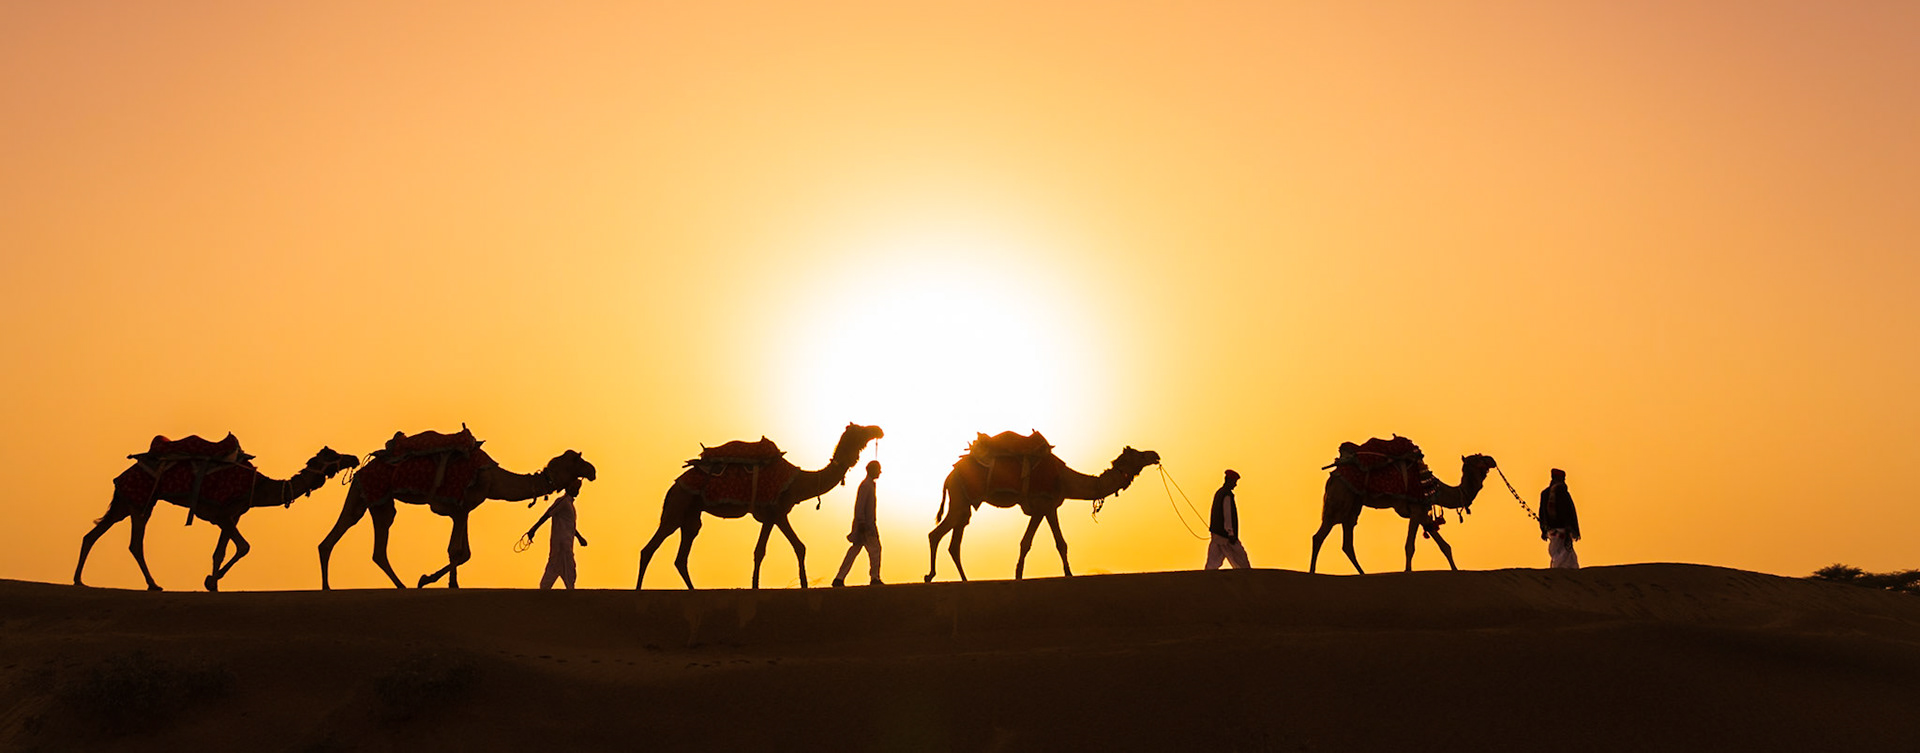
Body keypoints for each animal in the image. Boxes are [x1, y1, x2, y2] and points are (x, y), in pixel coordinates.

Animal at [75, 444, 360, 592]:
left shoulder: (233, 516)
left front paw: (212, 583)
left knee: (92, 535)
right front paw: (211, 581)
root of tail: (122, 475)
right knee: (135, 544)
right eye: (334, 455)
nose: (354, 457)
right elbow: (244, 546)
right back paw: (153, 584)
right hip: (142, 502)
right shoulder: (223, 512)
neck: (258, 487)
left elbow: (220, 552)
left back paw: (79, 580)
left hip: (125, 503)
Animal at [317, 445, 596, 589]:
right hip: (371, 493)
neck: (493, 479)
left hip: (376, 501)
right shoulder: (459, 509)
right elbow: (456, 550)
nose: (593, 470)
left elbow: (465, 552)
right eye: (577, 459)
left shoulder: (465, 509)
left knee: (362, 542)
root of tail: (360, 471)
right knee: (348, 537)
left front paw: (435, 580)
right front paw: (441, 582)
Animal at [636, 423, 884, 590]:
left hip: (692, 515)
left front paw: (800, 584)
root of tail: (674, 484)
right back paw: (639, 589)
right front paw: (760, 586)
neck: (797, 481)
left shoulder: (774, 515)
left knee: (681, 555)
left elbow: (787, 548)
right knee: (649, 547)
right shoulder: (776, 511)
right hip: (678, 505)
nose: (878, 430)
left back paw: (693, 589)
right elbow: (771, 549)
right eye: (861, 430)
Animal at [925, 441, 1161, 583]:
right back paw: (931, 575)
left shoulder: (1043, 509)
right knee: (936, 534)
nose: (1155, 454)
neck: (1065, 479)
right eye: (1139, 455)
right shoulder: (1046, 504)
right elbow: (1056, 543)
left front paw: (1019, 575)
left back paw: (964, 579)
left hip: (963, 502)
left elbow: (1029, 543)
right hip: (959, 498)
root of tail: (949, 476)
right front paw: (1068, 574)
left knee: (954, 541)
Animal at [1310, 453, 1497, 574]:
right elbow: (1409, 546)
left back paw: (1363, 573)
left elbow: (1445, 546)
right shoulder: (1416, 510)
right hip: (1340, 500)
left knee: (1347, 540)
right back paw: (1312, 572)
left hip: (1353, 504)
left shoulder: (1423, 513)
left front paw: (1456, 570)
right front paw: (1408, 571)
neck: (1435, 488)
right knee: (1320, 535)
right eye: (1480, 458)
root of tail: (1333, 476)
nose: (1492, 460)